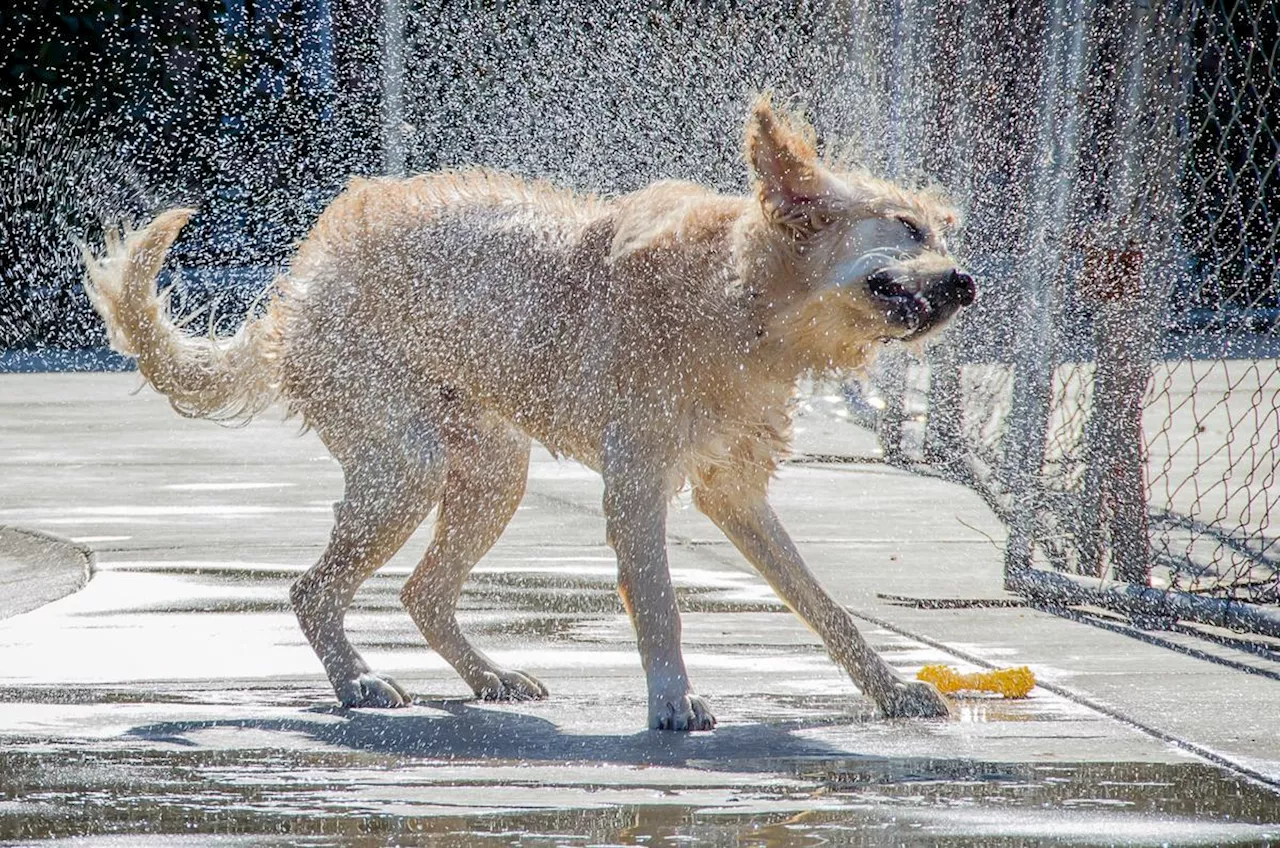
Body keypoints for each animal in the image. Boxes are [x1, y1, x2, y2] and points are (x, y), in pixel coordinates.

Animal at [85, 97, 972, 732]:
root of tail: (300, 281)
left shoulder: (735, 492)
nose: (967, 284)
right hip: (405, 464)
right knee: (312, 590)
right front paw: (671, 703)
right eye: (905, 228)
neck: (745, 300)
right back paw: (359, 681)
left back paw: (486, 676)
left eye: (938, 231)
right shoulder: (636, 480)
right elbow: (661, 604)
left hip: (491, 471)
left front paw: (890, 689)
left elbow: (821, 603)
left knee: (423, 594)